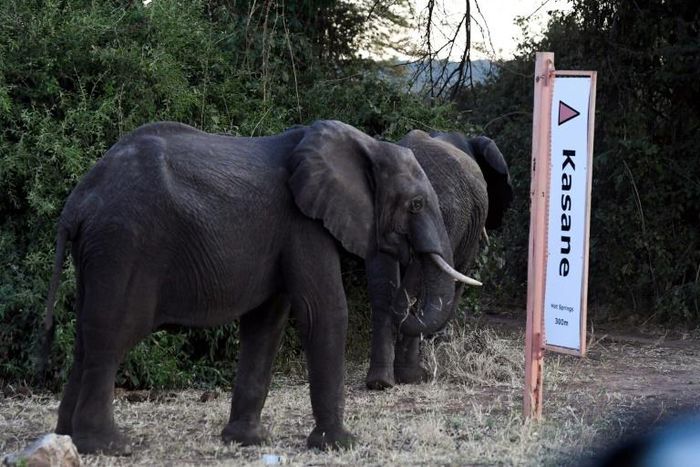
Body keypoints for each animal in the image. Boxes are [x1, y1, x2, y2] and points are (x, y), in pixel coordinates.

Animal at [41, 120, 479, 454]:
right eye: (416, 205)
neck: (367, 144)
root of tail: (78, 201)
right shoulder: (302, 224)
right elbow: (323, 311)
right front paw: (340, 445)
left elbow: (267, 323)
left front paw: (247, 441)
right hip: (123, 244)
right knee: (111, 336)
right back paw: (110, 447)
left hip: (100, 252)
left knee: (85, 338)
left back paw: (65, 439)